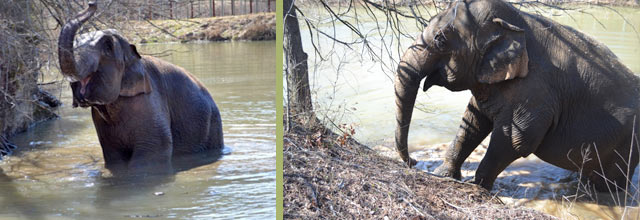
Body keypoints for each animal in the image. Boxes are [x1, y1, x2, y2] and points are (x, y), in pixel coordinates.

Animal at [58, 2, 222, 175]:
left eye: (108, 48)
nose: (91, 4)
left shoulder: (148, 103)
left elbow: (152, 154)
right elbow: (113, 158)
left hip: (212, 128)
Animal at [396, 0, 640, 191]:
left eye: (440, 40)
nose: (413, 162)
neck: (516, 21)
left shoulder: (537, 90)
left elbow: (517, 139)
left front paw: (477, 186)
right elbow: (472, 122)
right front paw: (443, 175)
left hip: (628, 145)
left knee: (609, 182)